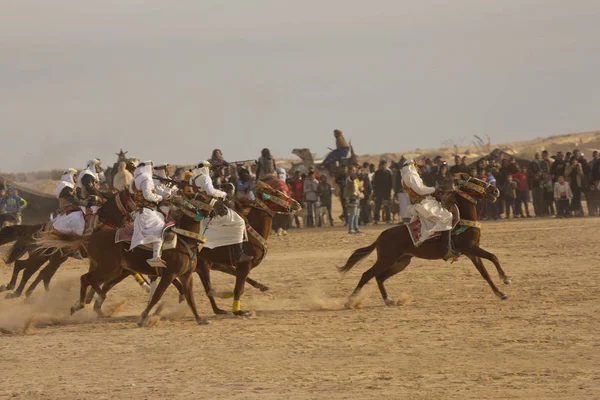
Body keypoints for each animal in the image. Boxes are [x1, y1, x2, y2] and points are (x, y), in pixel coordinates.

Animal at [0, 189, 136, 298]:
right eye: (130, 196)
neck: (105, 221)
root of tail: (37, 229)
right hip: (40, 256)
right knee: (28, 270)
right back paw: (16, 293)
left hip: (53, 258)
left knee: (33, 270)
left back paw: (16, 290)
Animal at [340, 177, 508, 306]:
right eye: (475, 181)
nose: (495, 190)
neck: (464, 222)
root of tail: (380, 237)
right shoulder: (470, 248)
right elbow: (493, 256)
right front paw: (505, 279)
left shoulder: (472, 253)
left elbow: (485, 273)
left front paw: (501, 293)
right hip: (386, 259)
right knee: (367, 274)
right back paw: (349, 301)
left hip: (401, 262)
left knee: (379, 277)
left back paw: (388, 300)